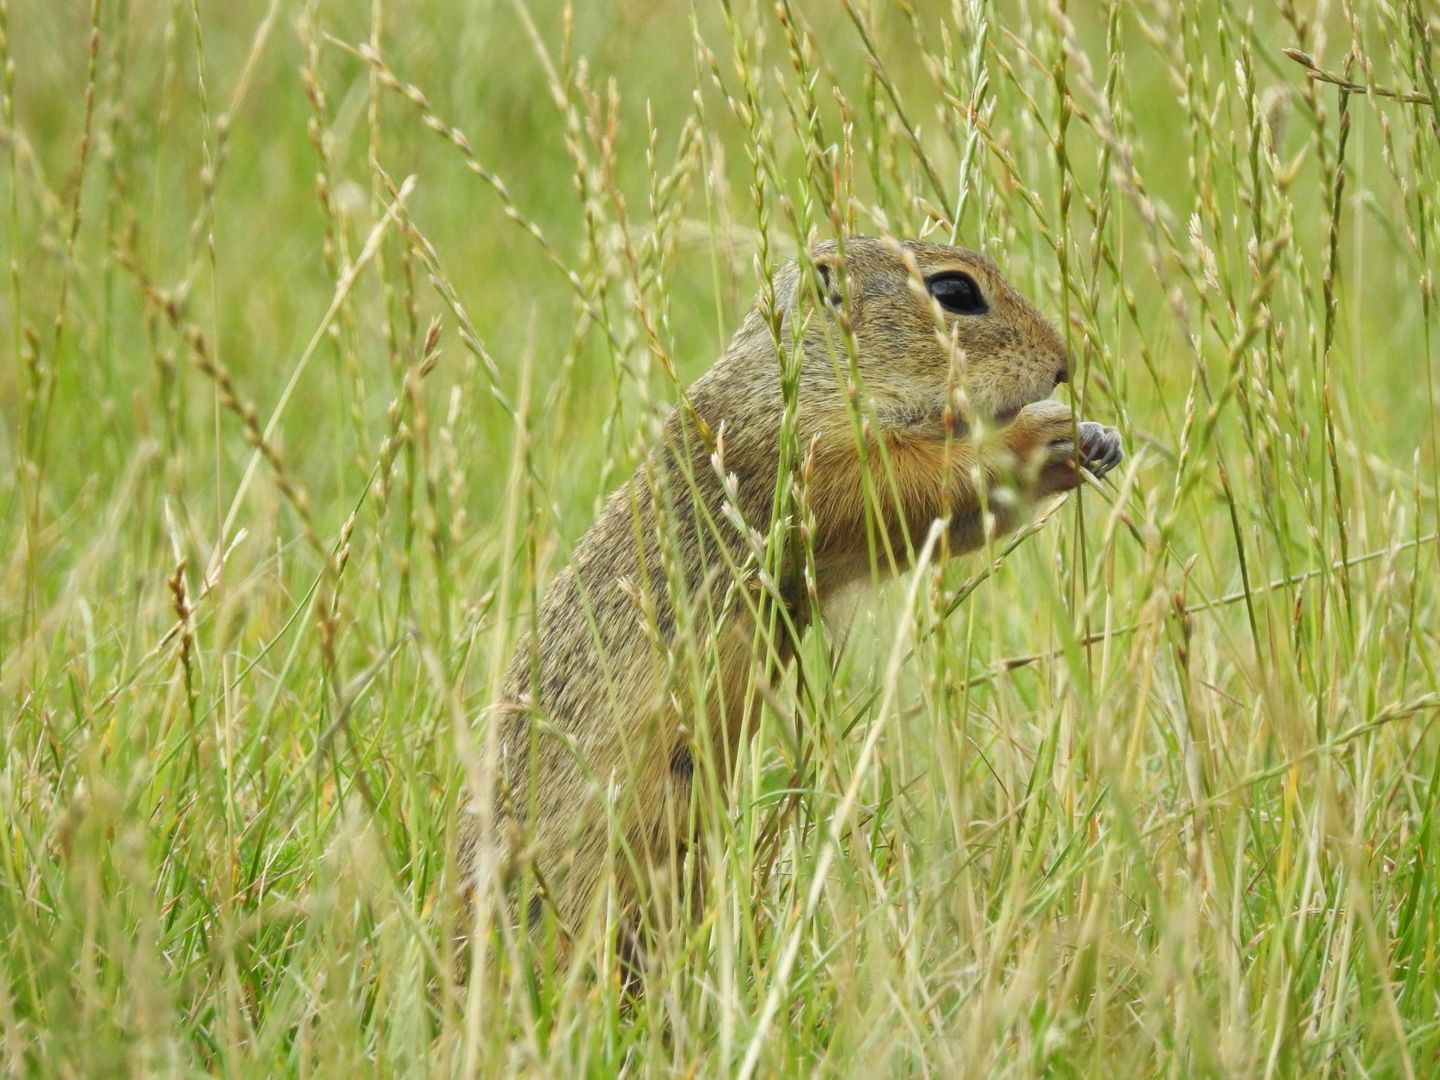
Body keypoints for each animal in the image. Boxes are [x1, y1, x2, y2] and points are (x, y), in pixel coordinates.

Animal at [460, 234, 1123, 973]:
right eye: (953, 292)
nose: (1064, 366)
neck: (804, 373)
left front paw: (1096, 440)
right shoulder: (803, 458)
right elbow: (905, 485)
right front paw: (1038, 436)